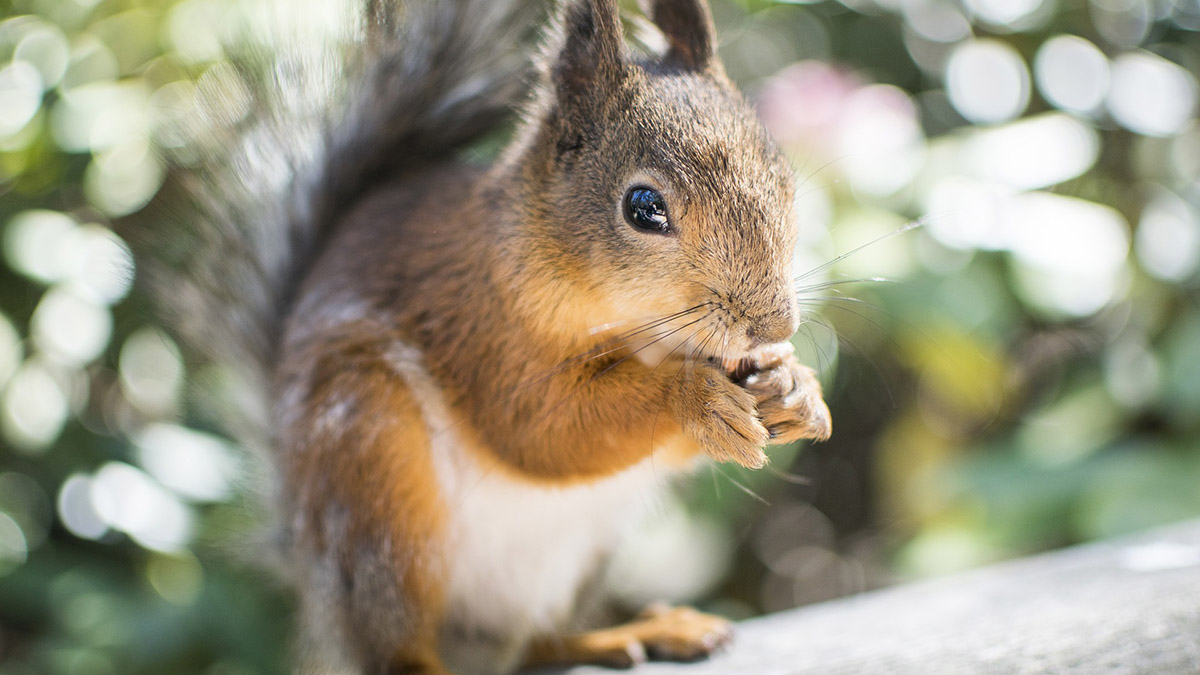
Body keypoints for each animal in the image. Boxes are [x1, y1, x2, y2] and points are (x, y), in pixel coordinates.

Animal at [129, 0, 825, 667]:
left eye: (783, 176)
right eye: (643, 207)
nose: (775, 325)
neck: (645, 332)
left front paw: (796, 389)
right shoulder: (483, 328)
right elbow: (541, 428)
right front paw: (694, 397)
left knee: (535, 645)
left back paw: (628, 633)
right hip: (371, 478)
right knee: (392, 647)